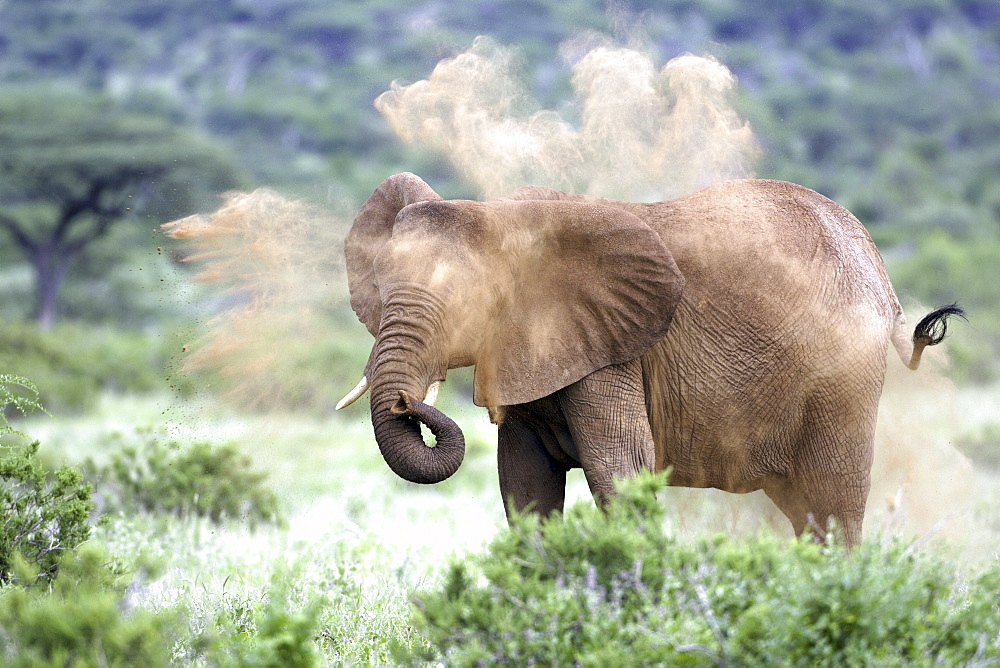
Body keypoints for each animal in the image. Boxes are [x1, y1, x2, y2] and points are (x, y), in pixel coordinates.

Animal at [338, 172, 960, 548]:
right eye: (380, 286)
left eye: (466, 302)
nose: (408, 402)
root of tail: (880, 273)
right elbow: (525, 487)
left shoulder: (610, 354)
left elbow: (620, 472)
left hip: (844, 380)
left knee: (832, 509)